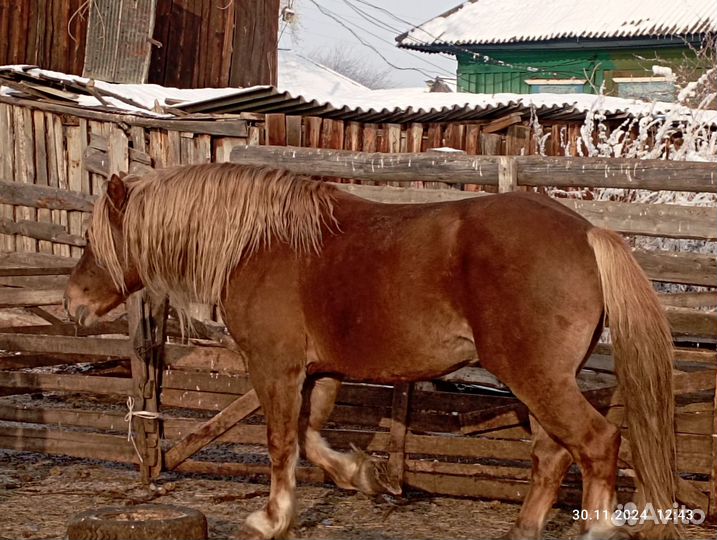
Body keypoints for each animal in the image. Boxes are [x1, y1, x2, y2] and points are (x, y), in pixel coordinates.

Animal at [64, 163, 679, 540]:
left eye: (92, 240)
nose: (72, 304)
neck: (259, 243)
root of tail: (587, 234)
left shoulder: (275, 367)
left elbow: (281, 444)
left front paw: (271, 518)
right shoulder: (320, 372)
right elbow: (312, 439)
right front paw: (365, 477)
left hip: (536, 377)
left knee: (596, 443)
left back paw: (596, 528)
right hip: (541, 382)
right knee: (552, 456)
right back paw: (522, 529)